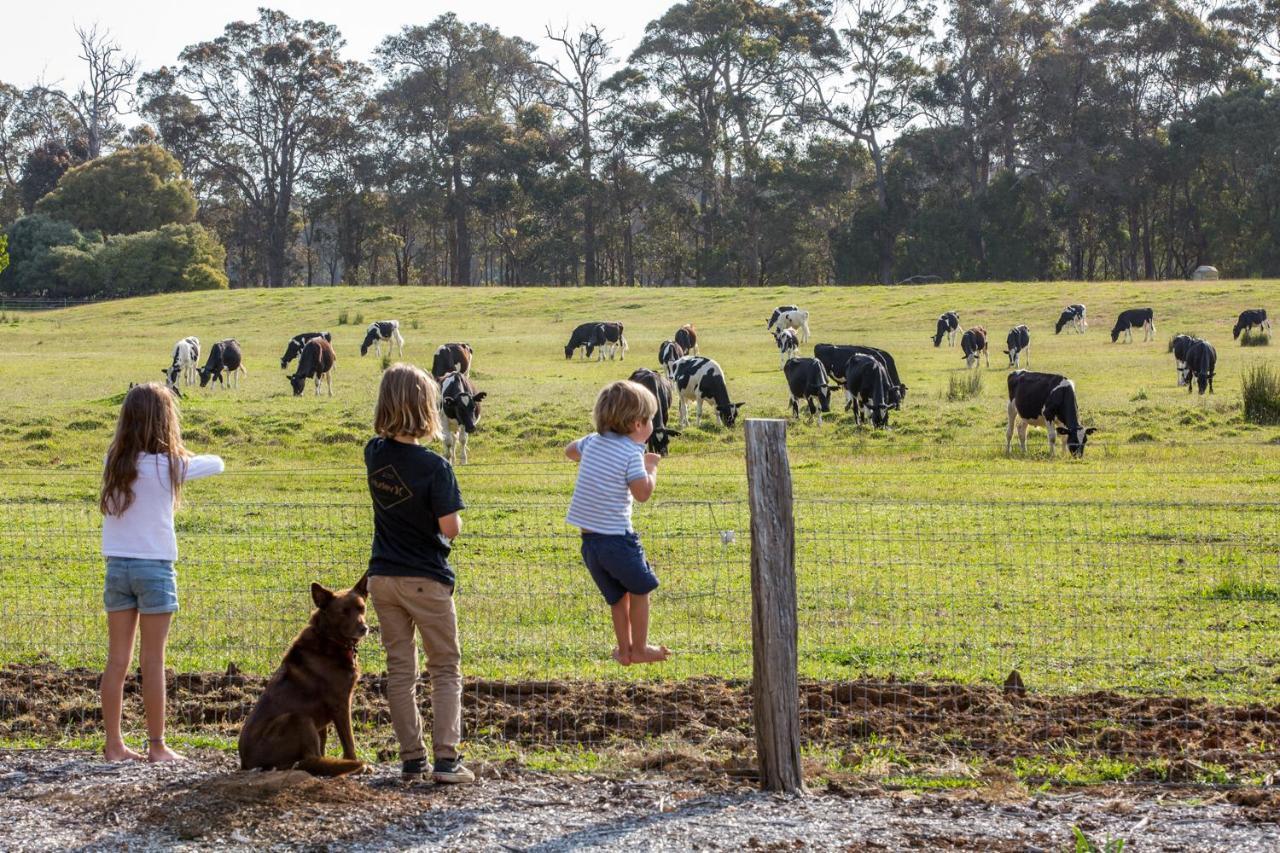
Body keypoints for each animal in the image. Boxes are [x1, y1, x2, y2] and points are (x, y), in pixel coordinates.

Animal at [239, 573, 371, 773]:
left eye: (361, 608)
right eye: (343, 612)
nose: (364, 629)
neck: (329, 639)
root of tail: (246, 763)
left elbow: (323, 745)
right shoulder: (340, 703)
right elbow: (349, 741)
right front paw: (352, 760)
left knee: (310, 759)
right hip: (298, 718)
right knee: (308, 761)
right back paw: (351, 766)